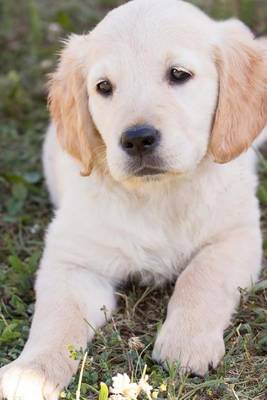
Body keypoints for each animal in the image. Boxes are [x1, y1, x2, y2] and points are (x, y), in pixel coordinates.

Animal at [0, 0, 267, 398]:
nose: (138, 139)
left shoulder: (236, 235)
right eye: (103, 87)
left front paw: (186, 343)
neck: (159, 195)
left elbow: (201, 277)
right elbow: (56, 317)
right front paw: (31, 373)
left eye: (179, 74)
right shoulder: (73, 262)